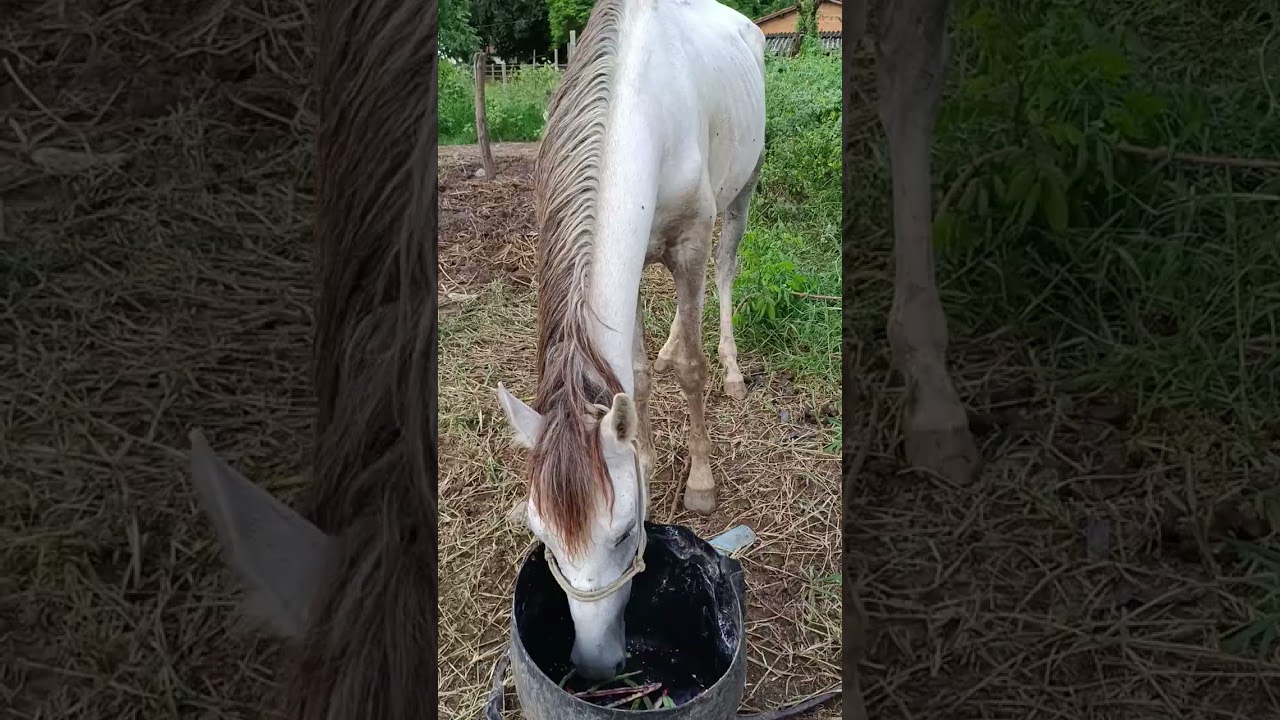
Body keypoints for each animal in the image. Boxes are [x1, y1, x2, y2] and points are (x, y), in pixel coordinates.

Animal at [493, 0, 766, 681]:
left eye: (622, 534)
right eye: (543, 535)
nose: (592, 665)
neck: (644, 105)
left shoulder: (689, 242)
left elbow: (691, 369)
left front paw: (700, 484)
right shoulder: (639, 254)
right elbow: (637, 374)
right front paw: (642, 452)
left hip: (741, 195)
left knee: (727, 271)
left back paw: (732, 370)